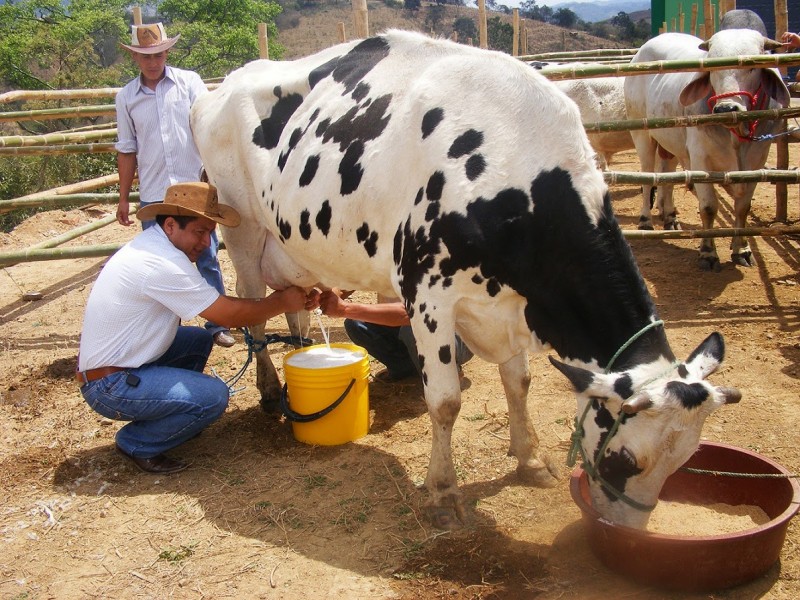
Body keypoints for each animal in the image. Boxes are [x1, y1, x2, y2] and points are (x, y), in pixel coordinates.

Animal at [191, 31, 740, 528]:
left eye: (683, 461)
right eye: (629, 460)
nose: (624, 530)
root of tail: (220, 88)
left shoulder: (514, 301)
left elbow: (518, 382)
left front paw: (529, 460)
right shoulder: (428, 294)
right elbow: (446, 401)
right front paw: (442, 492)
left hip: (293, 244)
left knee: (294, 306)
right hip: (241, 228)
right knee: (252, 309)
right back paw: (269, 391)